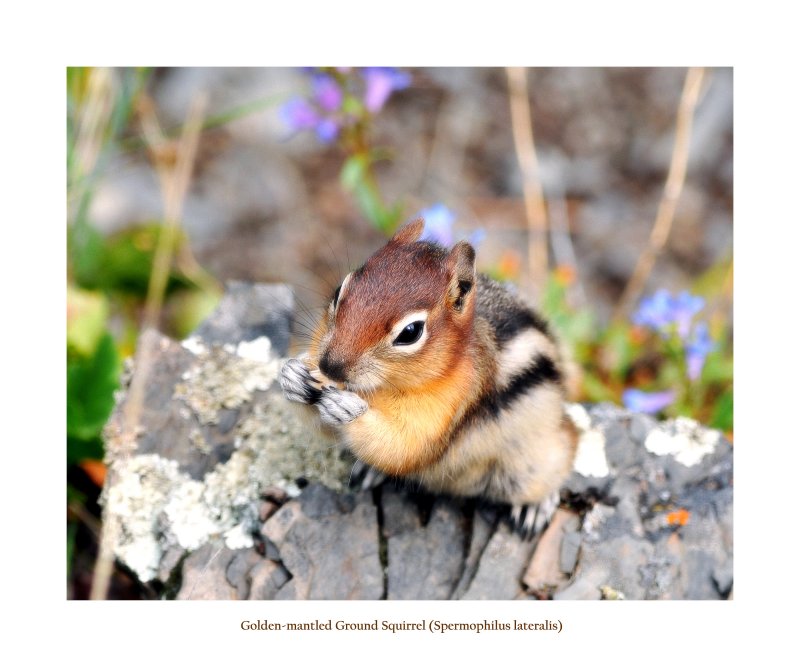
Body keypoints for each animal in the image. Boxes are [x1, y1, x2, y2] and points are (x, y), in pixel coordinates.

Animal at [282, 219, 576, 536]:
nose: (330, 366)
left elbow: (404, 446)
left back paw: (537, 505)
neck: (380, 390)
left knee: (565, 448)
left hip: (534, 458)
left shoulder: (445, 411)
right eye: (338, 292)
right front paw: (293, 375)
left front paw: (348, 410)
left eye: (410, 332)